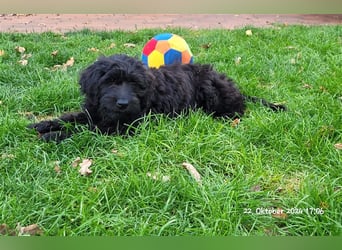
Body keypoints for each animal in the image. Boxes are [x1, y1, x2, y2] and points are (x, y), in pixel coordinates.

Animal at [28, 54, 286, 142]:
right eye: (110, 82)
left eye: (134, 84)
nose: (123, 104)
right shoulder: (94, 110)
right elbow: (72, 117)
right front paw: (44, 124)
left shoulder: (128, 125)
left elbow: (88, 130)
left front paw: (54, 135)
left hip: (211, 90)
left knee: (236, 111)